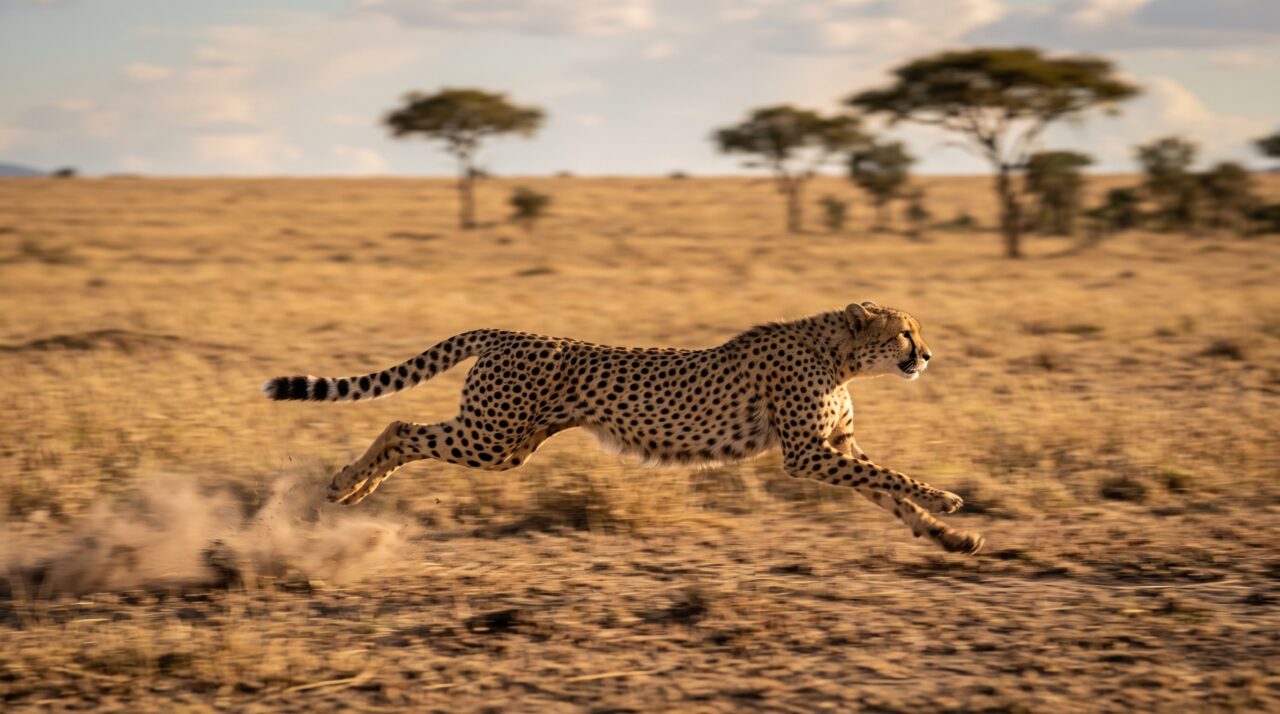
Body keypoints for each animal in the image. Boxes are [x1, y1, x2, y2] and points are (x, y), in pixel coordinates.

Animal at [263, 302, 984, 554]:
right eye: (905, 333)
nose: (926, 356)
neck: (837, 352)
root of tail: (509, 330)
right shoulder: (807, 454)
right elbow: (894, 476)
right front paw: (949, 499)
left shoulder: (833, 447)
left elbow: (887, 489)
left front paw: (950, 536)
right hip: (491, 436)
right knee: (400, 424)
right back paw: (346, 486)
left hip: (508, 444)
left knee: (407, 429)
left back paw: (350, 489)